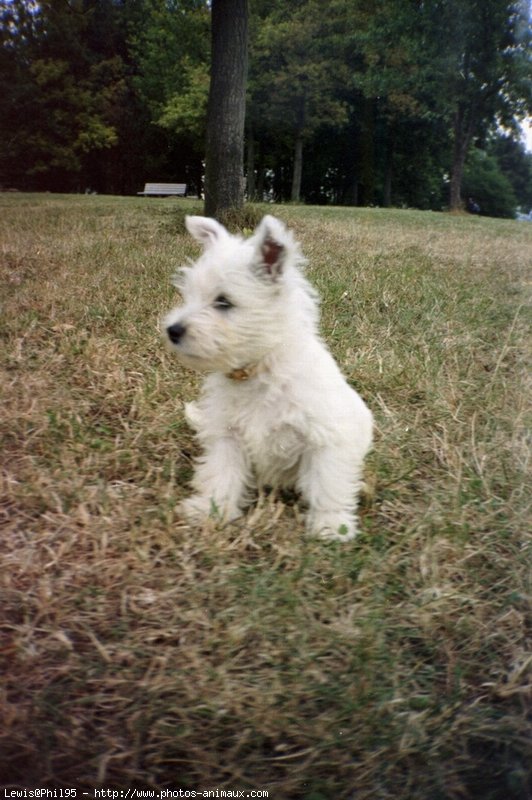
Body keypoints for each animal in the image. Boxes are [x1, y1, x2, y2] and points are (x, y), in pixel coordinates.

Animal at [164, 212, 372, 540]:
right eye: (188, 295)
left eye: (223, 302)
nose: (172, 330)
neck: (260, 368)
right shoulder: (228, 435)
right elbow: (222, 472)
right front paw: (210, 509)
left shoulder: (327, 438)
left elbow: (328, 483)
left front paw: (331, 525)